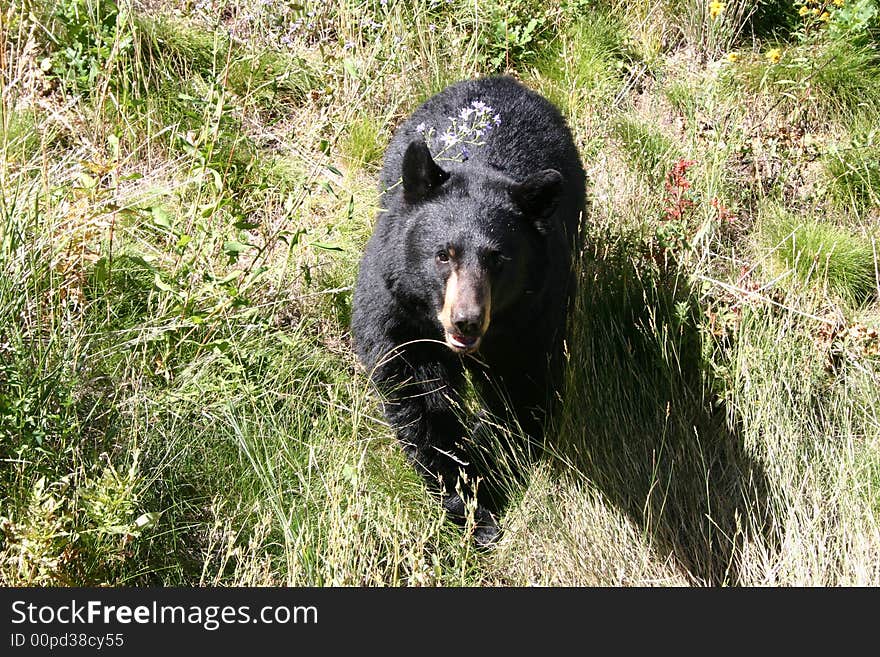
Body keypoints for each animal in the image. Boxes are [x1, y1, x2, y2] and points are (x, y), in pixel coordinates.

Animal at [348, 75, 584, 544]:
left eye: (498, 260)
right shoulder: (399, 313)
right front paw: (469, 502)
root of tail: (501, 80)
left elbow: (523, 390)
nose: (466, 320)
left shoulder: (534, 313)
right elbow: (421, 401)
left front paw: (496, 461)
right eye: (444, 254)